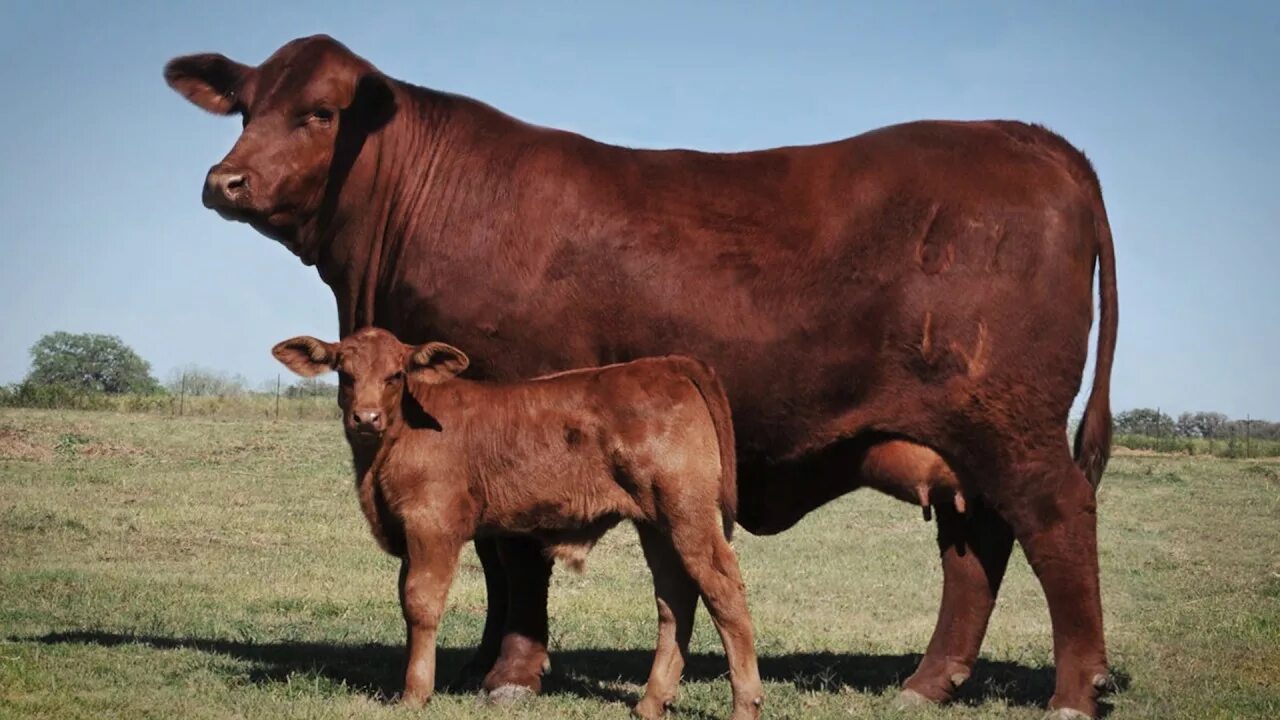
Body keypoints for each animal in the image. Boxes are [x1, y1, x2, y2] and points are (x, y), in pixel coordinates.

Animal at [273, 326, 762, 717]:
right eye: (345, 373)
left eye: (396, 375)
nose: (366, 417)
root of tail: (666, 364)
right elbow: (405, 598)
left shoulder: (431, 522)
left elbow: (420, 602)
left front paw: (414, 693)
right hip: (656, 523)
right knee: (675, 598)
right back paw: (650, 703)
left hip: (689, 513)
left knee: (723, 589)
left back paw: (744, 703)